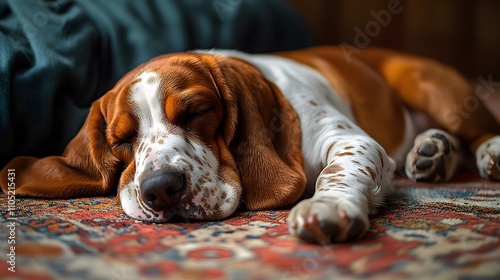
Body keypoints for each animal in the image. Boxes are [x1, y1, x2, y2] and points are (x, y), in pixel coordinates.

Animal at [0, 45, 500, 243]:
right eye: (122, 140)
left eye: (196, 111)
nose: (160, 190)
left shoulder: (352, 141)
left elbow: (338, 173)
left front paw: (325, 208)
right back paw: (432, 153)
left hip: (434, 88)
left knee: (480, 129)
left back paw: (485, 153)